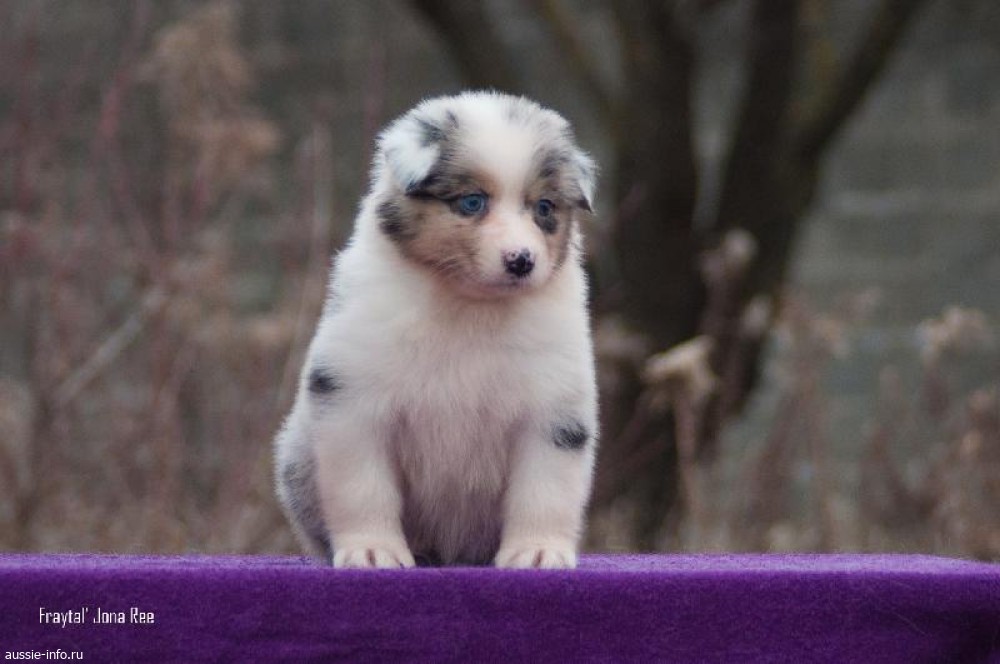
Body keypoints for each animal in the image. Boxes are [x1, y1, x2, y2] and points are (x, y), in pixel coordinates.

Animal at [274, 91, 598, 568]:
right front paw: (373, 550)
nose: (522, 260)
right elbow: (364, 487)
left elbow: (544, 489)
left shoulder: (553, 410)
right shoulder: (354, 400)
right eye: (472, 202)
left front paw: (538, 552)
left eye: (544, 208)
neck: (470, 308)